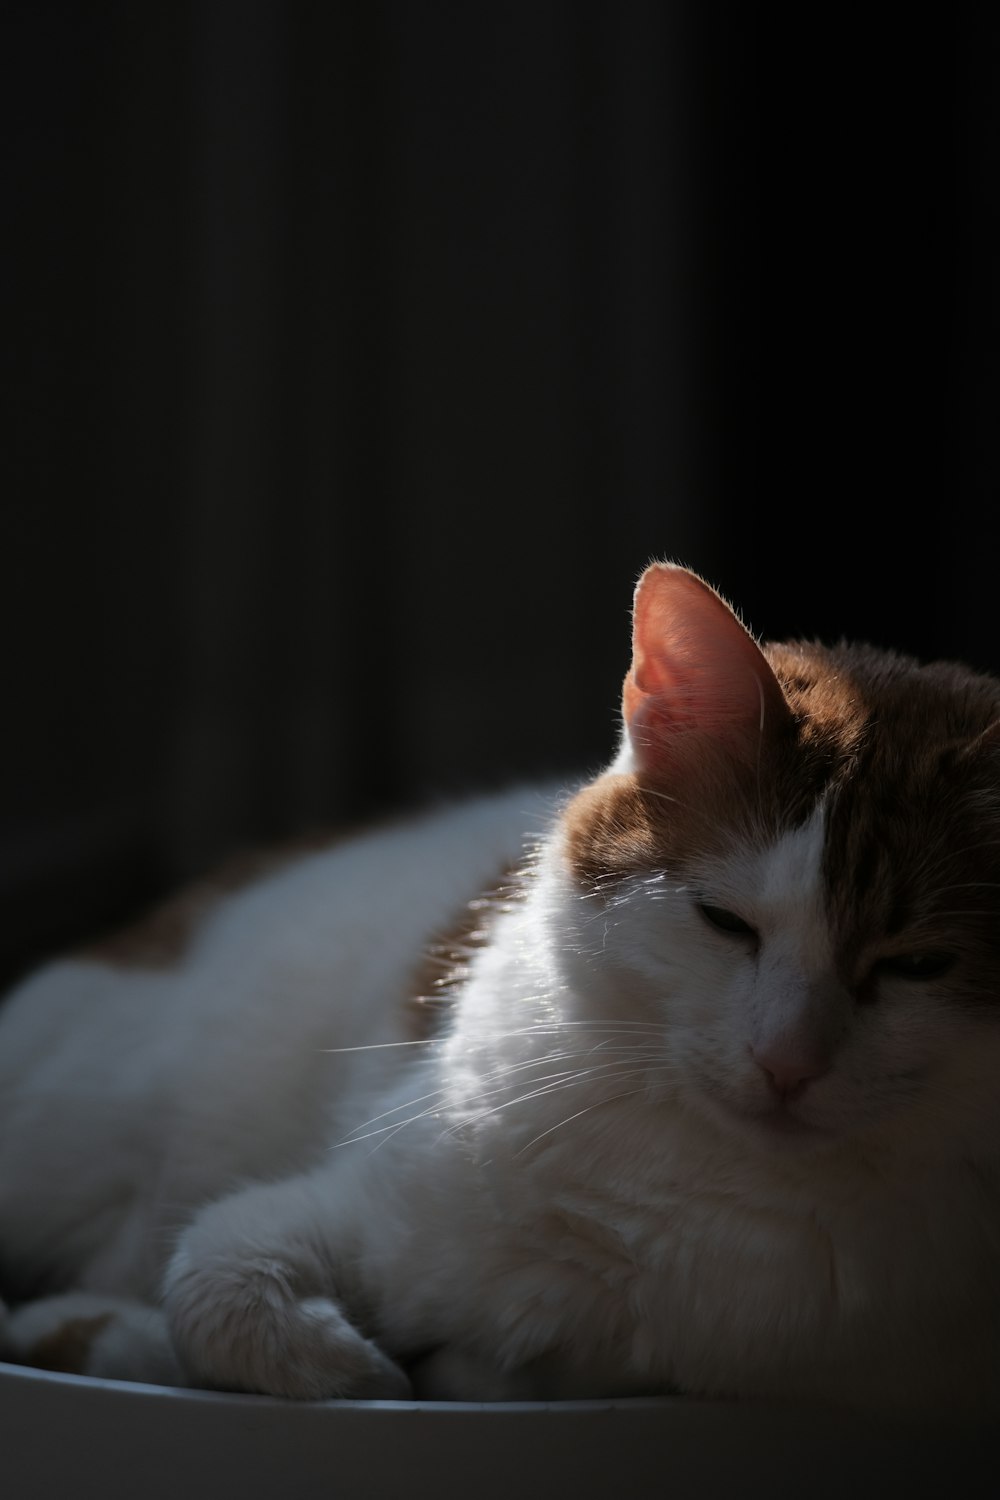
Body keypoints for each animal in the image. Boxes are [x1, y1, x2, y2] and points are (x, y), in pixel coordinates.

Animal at [1, 564, 1000, 1416]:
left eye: (917, 965)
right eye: (725, 921)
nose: (786, 1062)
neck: (716, 1205)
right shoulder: (338, 1206)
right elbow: (217, 1292)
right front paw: (360, 1369)